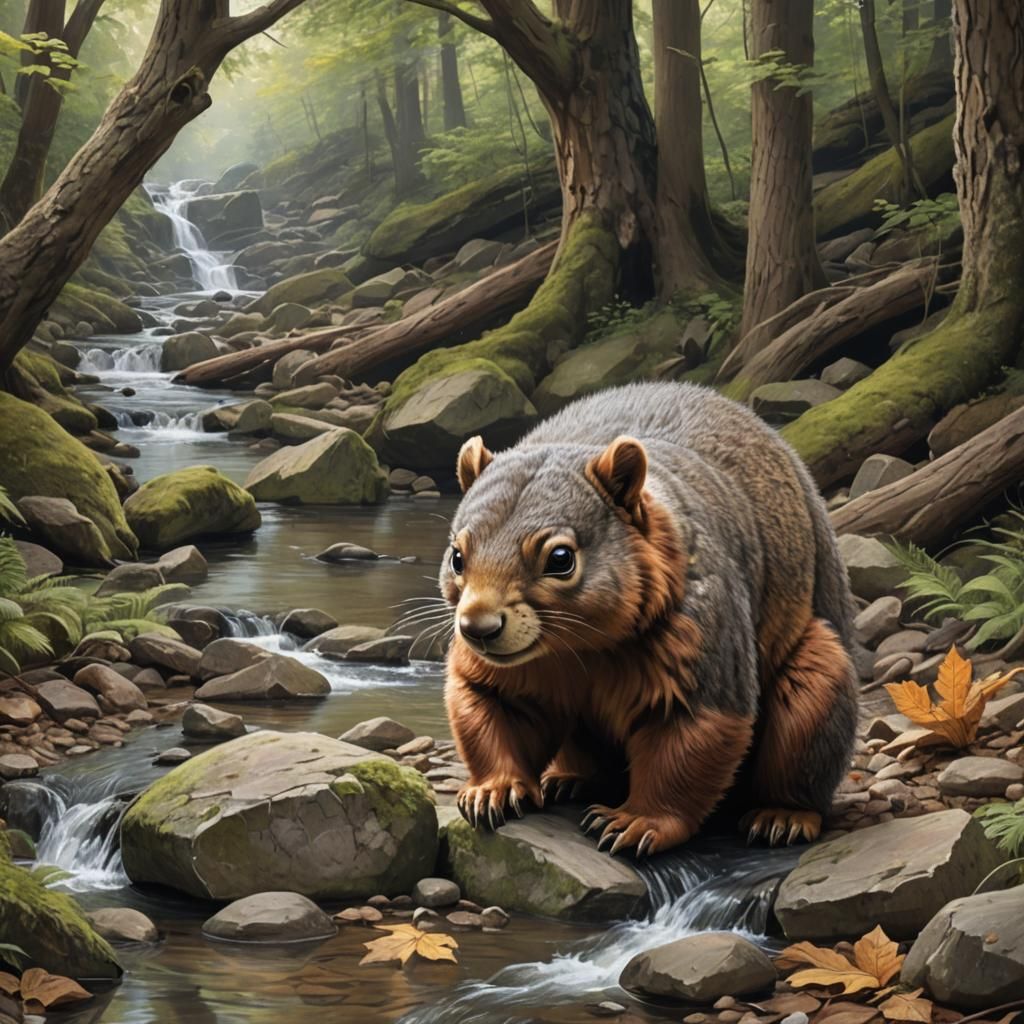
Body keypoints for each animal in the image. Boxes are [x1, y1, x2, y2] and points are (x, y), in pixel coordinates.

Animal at [440, 382, 859, 857]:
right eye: (457, 556)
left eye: (561, 559)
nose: (478, 628)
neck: (577, 648)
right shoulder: (517, 672)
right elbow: (494, 705)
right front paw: (494, 791)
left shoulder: (701, 630)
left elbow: (690, 733)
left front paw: (635, 823)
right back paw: (569, 779)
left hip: (814, 667)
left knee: (805, 722)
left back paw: (783, 816)